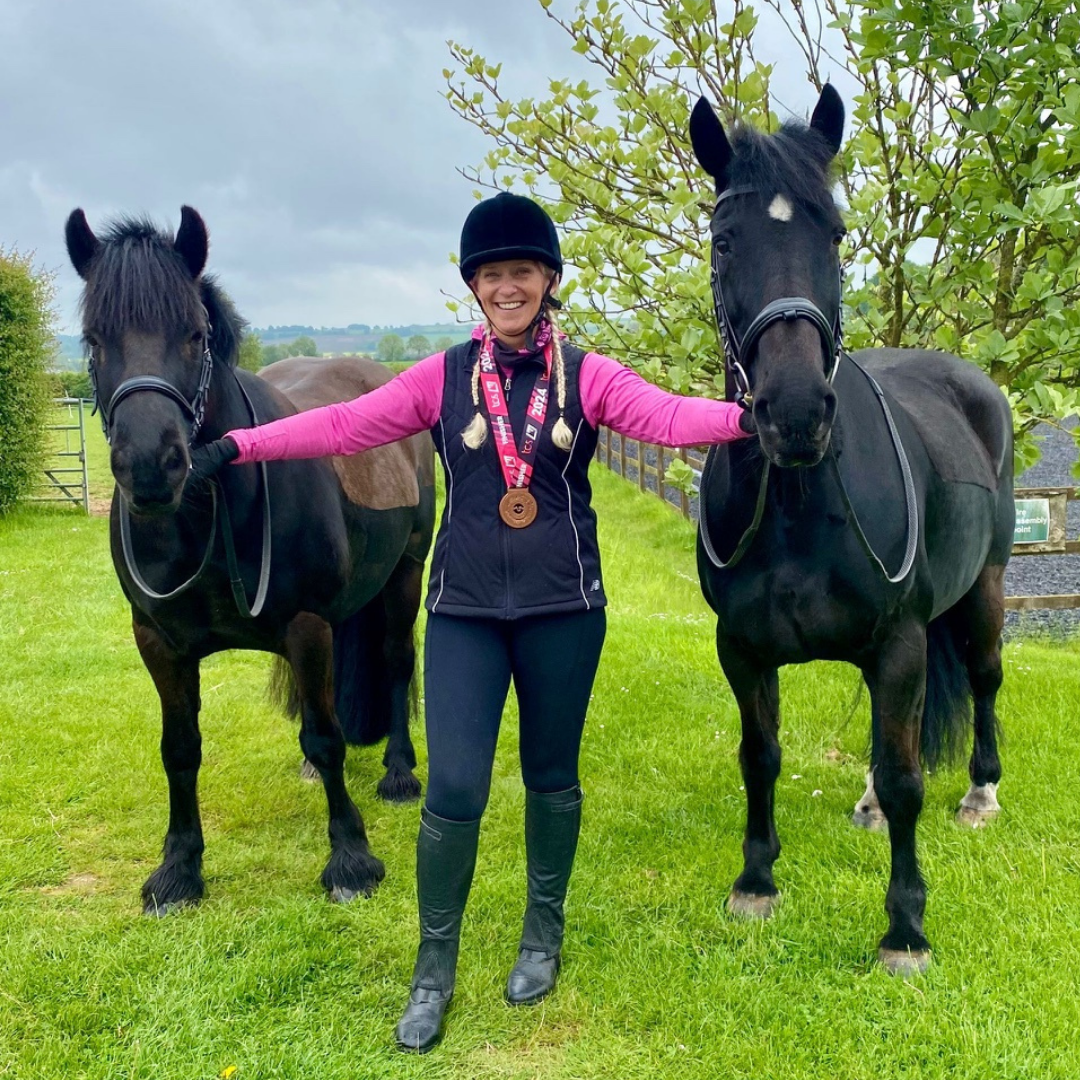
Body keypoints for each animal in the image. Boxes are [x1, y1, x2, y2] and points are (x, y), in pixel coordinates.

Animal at [63, 204, 432, 911]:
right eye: (93, 340)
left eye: (194, 334)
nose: (149, 465)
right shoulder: (158, 642)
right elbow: (180, 748)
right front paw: (179, 868)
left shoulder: (306, 625)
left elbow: (327, 734)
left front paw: (351, 859)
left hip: (404, 576)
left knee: (397, 663)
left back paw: (399, 773)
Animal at [691, 88, 1010, 976]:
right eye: (725, 240)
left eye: (832, 233)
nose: (796, 413)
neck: (801, 504)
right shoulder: (742, 648)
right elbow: (760, 757)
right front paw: (756, 883)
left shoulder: (900, 640)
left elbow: (906, 780)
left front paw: (904, 931)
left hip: (984, 590)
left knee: (984, 680)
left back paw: (981, 792)